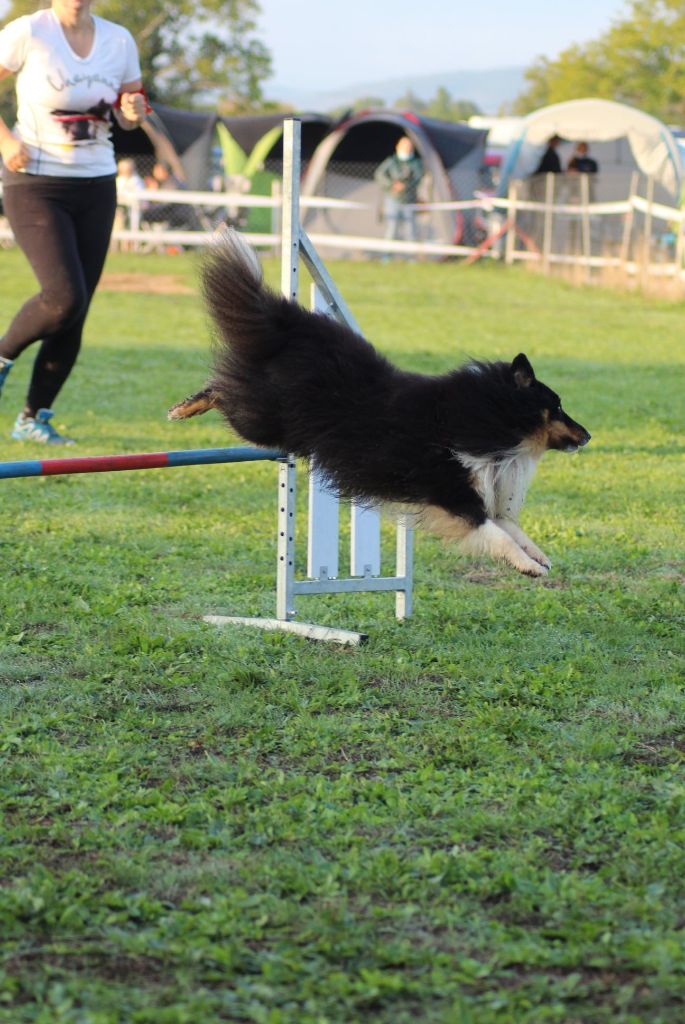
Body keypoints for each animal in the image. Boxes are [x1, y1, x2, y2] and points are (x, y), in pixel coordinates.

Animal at [169, 230, 589, 577]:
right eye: (557, 406)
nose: (587, 435)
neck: (485, 417)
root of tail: (291, 324)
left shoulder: (477, 489)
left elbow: (510, 527)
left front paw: (538, 556)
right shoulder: (450, 490)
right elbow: (496, 532)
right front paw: (528, 566)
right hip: (263, 417)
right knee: (222, 389)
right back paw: (183, 408)